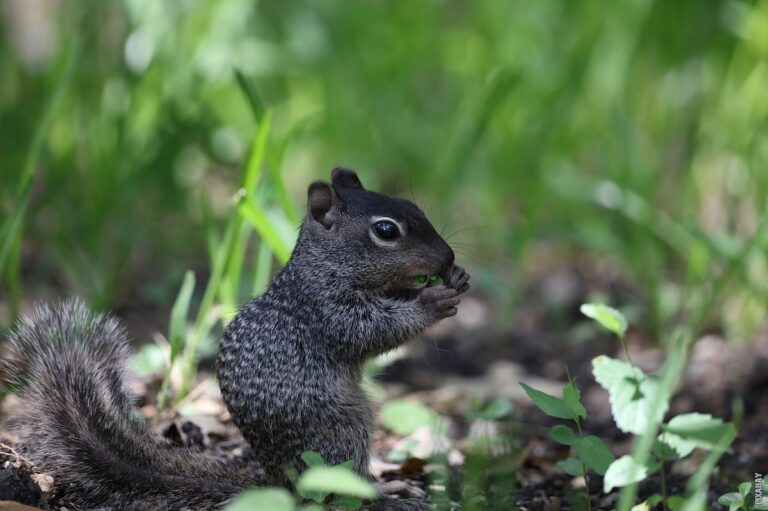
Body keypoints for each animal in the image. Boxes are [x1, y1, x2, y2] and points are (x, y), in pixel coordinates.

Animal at [1, 166, 468, 510]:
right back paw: (384, 492)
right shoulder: (326, 310)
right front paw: (433, 301)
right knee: (337, 488)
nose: (447, 257)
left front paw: (456, 280)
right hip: (341, 429)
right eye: (386, 231)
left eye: (413, 205)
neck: (325, 265)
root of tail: (284, 486)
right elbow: (371, 331)